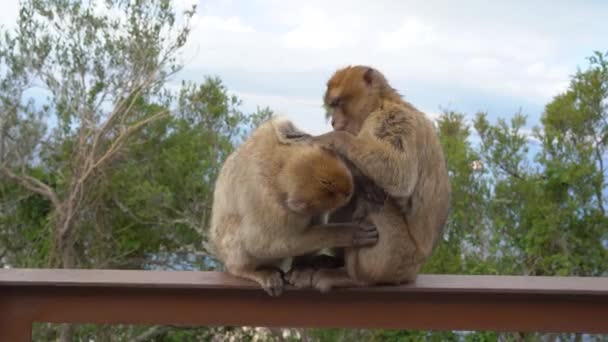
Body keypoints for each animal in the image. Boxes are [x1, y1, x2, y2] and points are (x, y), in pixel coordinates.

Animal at [211, 116, 378, 296]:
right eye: (332, 191)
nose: (348, 192)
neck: (278, 163)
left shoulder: (276, 128)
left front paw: (361, 177)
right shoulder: (269, 204)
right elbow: (262, 243)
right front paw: (347, 232)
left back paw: (303, 267)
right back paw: (247, 271)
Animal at [286, 65, 452, 292]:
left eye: (338, 103)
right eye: (332, 106)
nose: (334, 122)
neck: (381, 103)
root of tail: (414, 272)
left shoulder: (392, 119)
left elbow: (398, 173)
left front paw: (328, 138)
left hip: (399, 262)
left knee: (377, 203)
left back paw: (354, 278)